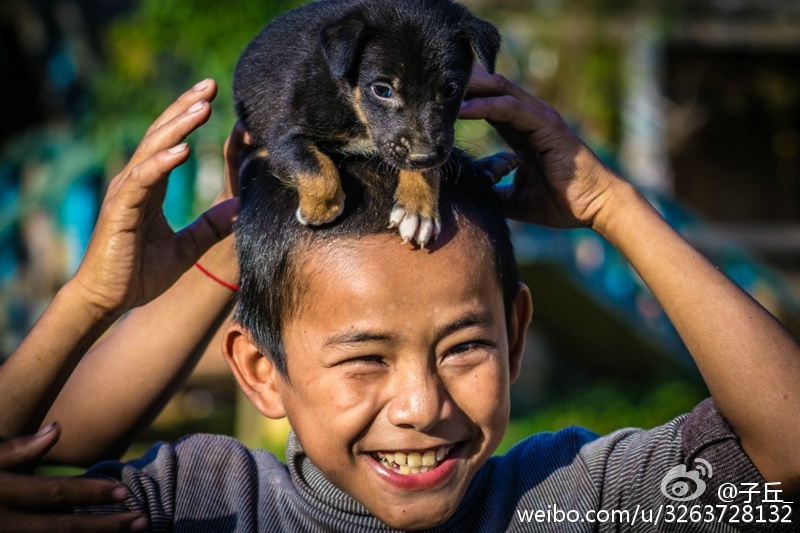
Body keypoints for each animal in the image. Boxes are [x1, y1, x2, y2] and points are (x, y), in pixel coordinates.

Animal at [231, 0, 504, 245]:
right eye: (382, 90)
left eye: (450, 90)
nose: (424, 156)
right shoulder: (284, 135)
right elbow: (314, 166)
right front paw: (318, 209)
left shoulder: (435, 140)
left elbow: (426, 167)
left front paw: (418, 210)